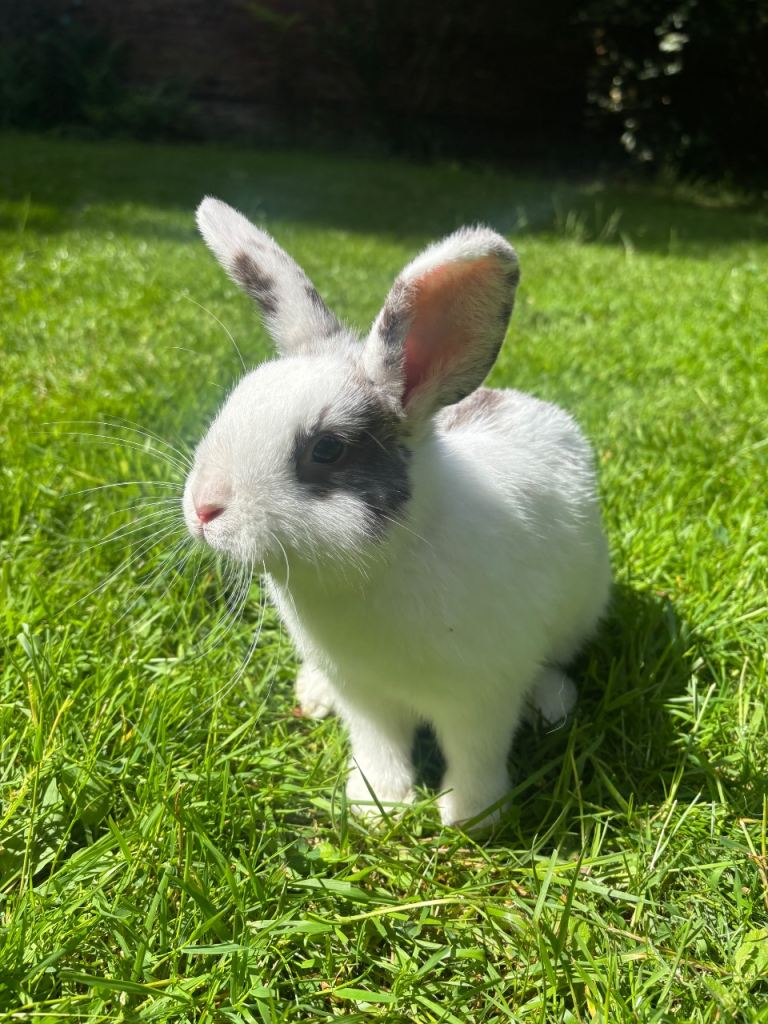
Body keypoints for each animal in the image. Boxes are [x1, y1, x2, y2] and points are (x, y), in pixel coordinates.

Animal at [183, 197, 612, 829]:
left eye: (327, 450)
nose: (203, 508)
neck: (380, 567)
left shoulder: (481, 695)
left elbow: (476, 753)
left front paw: (471, 818)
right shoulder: (364, 695)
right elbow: (378, 744)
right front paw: (377, 804)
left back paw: (553, 703)